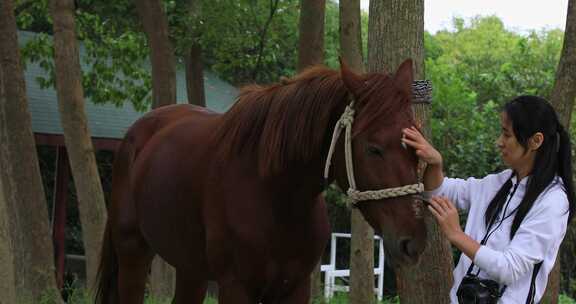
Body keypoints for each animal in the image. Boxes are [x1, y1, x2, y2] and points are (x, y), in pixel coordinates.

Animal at [94, 59, 428, 304]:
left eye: (415, 146)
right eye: (373, 148)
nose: (413, 242)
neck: (275, 198)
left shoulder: (295, 288)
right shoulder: (235, 287)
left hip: (191, 268)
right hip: (133, 254)